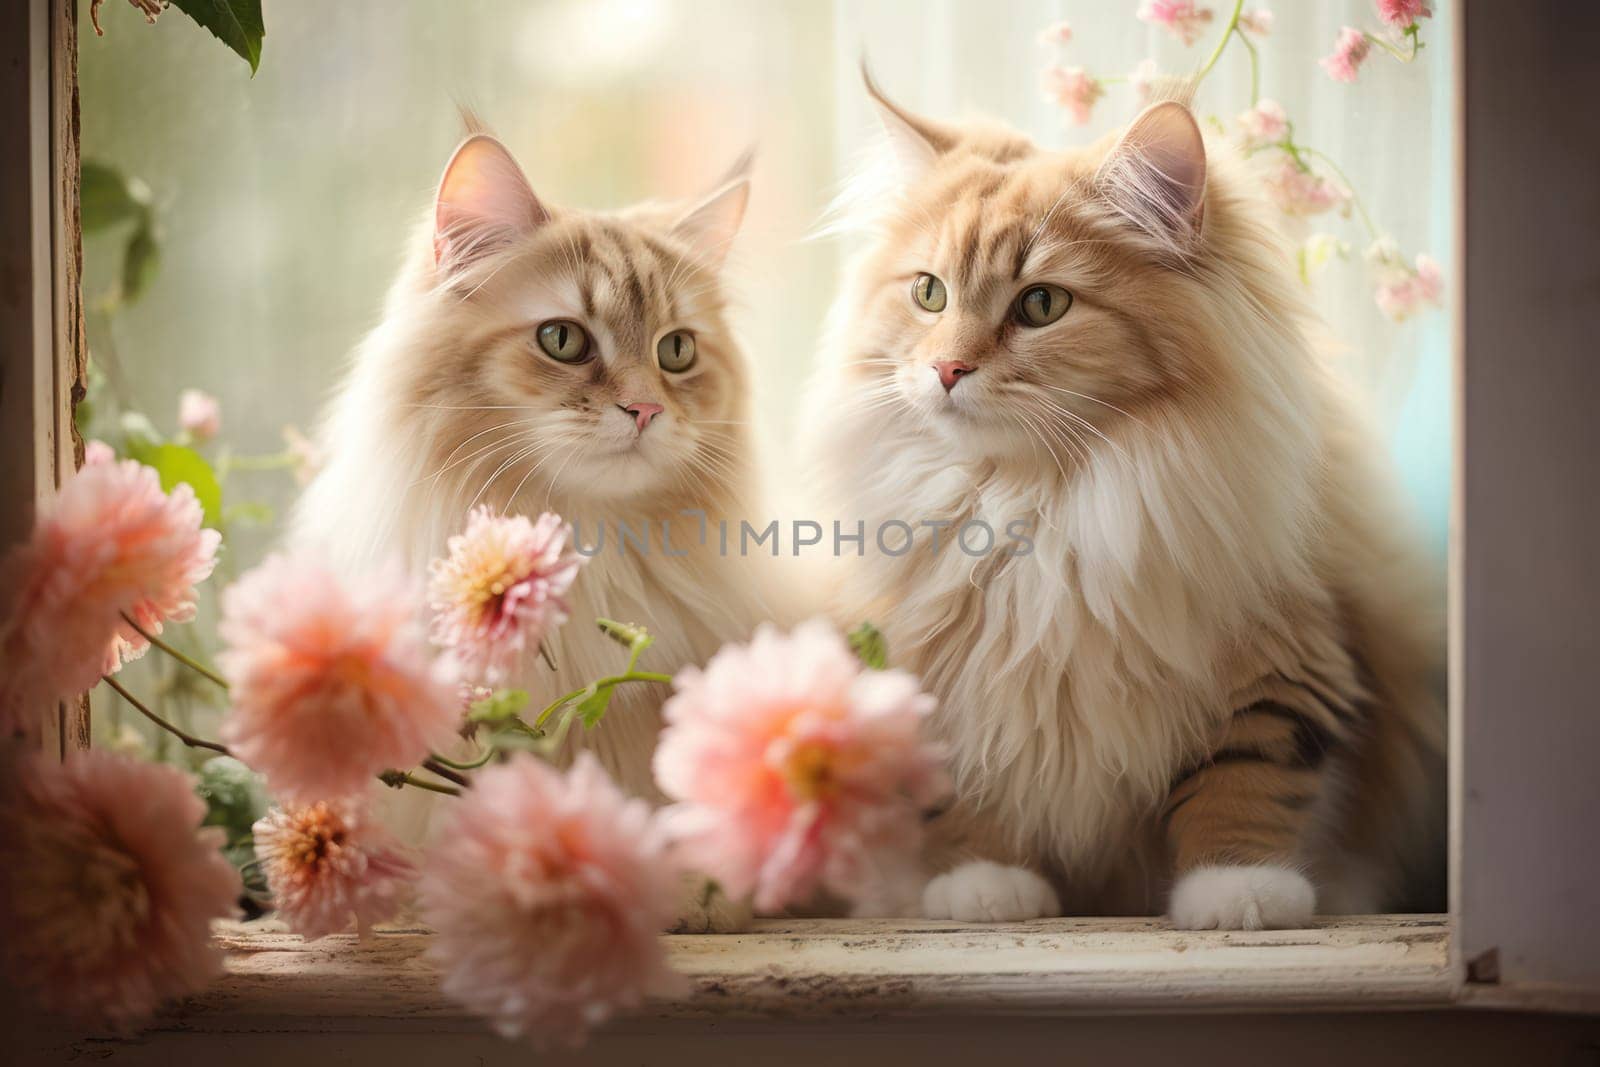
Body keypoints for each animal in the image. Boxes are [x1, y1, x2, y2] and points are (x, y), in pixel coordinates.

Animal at [806, 77, 1446, 927]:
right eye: (928, 293)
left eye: (1042, 305)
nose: (946, 368)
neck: (1035, 508)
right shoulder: (941, 679)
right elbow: (967, 796)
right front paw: (983, 888)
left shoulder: (1282, 655)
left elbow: (1245, 779)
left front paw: (1239, 893)